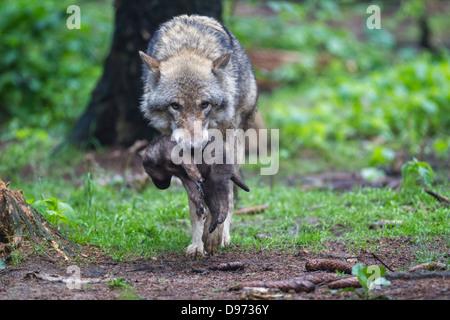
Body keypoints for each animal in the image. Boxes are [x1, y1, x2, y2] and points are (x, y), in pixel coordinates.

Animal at [139, 14, 258, 255]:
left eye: (204, 104)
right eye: (175, 106)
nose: (194, 147)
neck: (188, 47)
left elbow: (222, 194)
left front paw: (214, 238)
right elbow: (195, 208)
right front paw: (197, 244)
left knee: (230, 193)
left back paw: (224, 236)